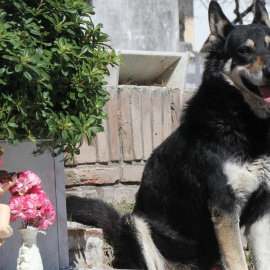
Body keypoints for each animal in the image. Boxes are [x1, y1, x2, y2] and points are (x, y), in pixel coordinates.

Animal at [66, 1, 270, 268]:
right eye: (245, 50)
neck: (244, 118)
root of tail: (117, 229)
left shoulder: (262, 208)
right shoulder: (224, 208)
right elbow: (238, 261)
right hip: (137, 226)